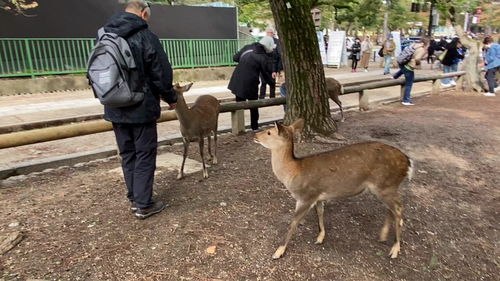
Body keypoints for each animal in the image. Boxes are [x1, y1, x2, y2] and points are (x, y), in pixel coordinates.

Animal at [256, 117, 412, 258]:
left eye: (269, 132)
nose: (255, 135)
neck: (293, 171)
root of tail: (408, 162)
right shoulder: (318, 196)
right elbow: (320, 213)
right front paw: (320, 237)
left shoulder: (306, 196)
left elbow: (293, 223)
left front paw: (278, 251)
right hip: (385, 187)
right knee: (392, 208)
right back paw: (383, 235)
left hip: (386, 185)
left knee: (398, 208)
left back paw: (395, 249)